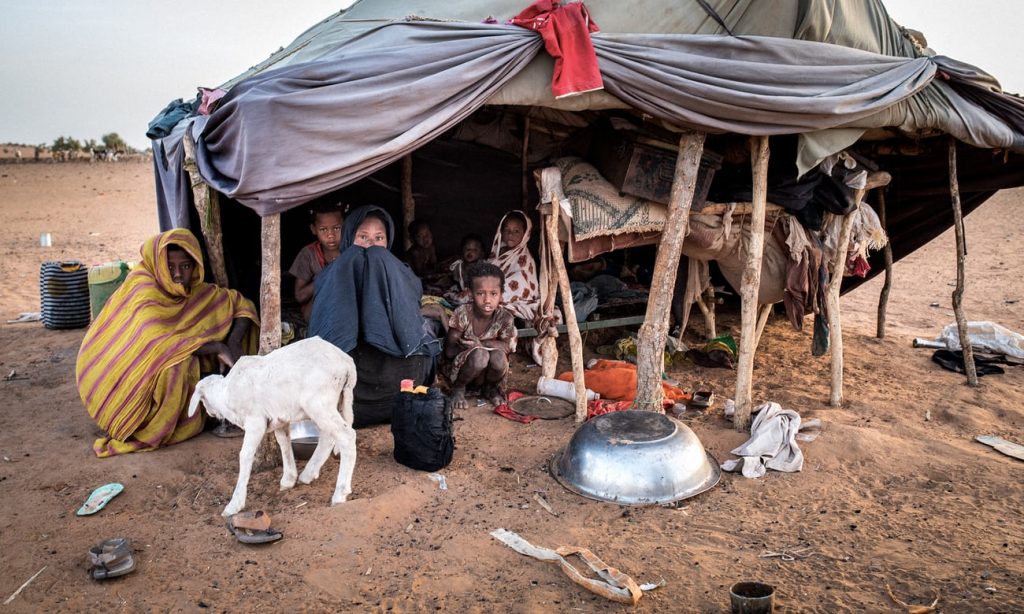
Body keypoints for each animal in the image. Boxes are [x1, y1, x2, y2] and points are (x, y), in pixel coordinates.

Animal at [186, 337, 358, 515]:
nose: (211, 414)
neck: (226, 393)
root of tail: (347, 363)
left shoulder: (255, 421)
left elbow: (245, 455)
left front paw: (234, 505)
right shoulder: (280, 418)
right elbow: (284, 442)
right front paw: (288, 479)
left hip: (318, 403)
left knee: (346, 435)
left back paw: (340, 494)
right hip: (335, 400)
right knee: (328, 437)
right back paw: (308, 474)